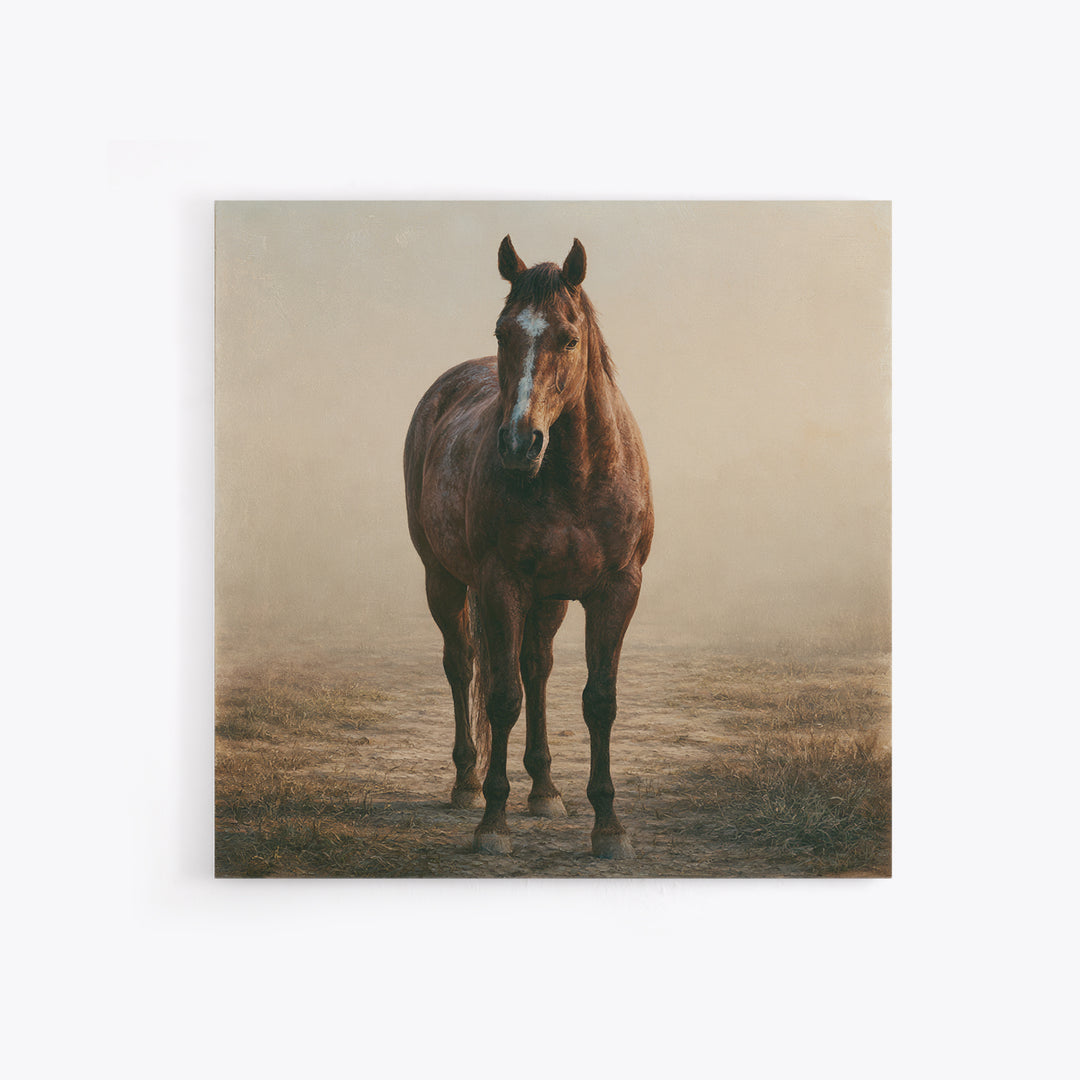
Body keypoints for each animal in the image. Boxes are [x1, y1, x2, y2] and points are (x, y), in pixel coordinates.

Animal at [404, 236, 653, 858]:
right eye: (502, 332)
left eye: (568, 337)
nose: (519, 443)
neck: (576, 478)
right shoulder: (500, 585)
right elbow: (501, 698)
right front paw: (493, 823)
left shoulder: (617, 589)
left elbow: (599, 700)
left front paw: (608, 825)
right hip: (443, 579)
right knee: (463, 664)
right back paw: (467, 782)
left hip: (550, 598)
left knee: (536, 666)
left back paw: (543, 788)